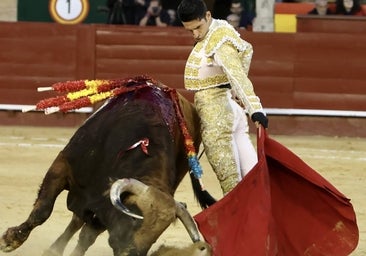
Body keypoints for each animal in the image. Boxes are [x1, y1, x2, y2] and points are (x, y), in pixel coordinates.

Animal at [0, 78, 214, 256]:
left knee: (80, 227)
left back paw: (55, 250)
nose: (132, 253)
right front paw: (10, 240)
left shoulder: (105, 207)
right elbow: (42, 211)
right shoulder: (63, 165)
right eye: (135, 217)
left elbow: (87, 236)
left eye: (158, 234)